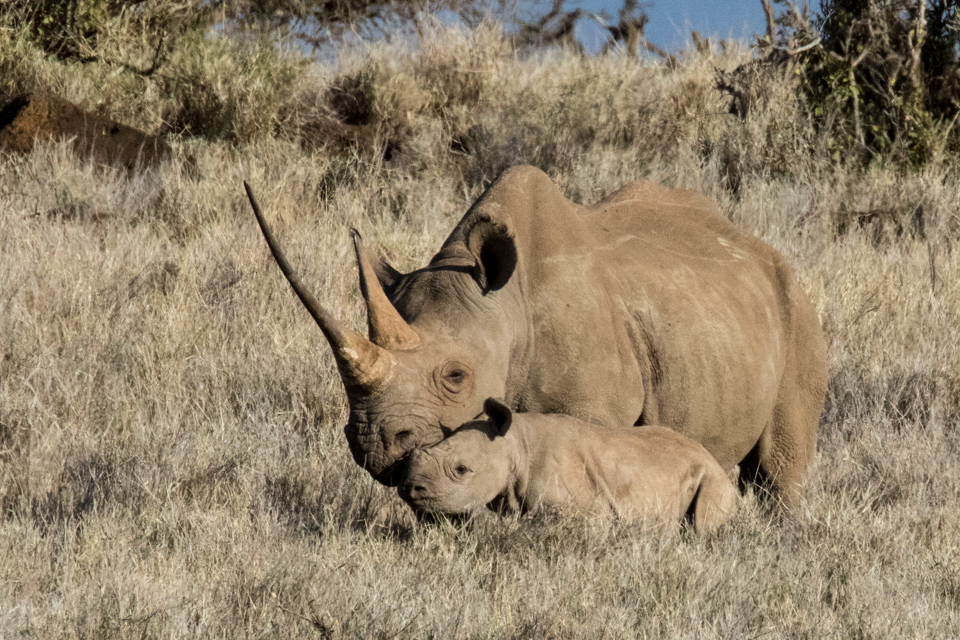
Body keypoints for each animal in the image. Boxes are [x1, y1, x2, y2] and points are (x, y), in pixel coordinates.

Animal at [244, 165, 827, 508]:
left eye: (455, 376)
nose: (371, 441)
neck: (506, 308)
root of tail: (761, 249)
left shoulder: (594, 409)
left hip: (797, 311)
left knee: (779, 472)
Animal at [399, 398, 739, 531]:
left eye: (461, 469)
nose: (409, 488)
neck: (516, 445)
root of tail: (710, 456)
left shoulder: (590, 512)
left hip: (713, 476)